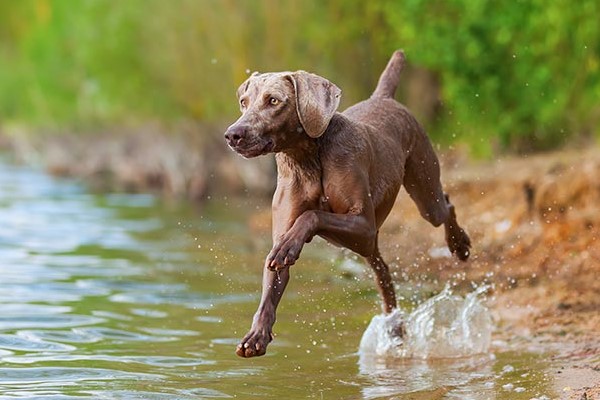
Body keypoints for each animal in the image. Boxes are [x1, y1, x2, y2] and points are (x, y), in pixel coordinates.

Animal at [224, 50, 468, 360]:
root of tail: (383, 97)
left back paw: (459, 244)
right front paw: (256, 336)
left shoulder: (363, 224)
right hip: (369, 247)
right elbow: (273, 275)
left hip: (423, 195)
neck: (307, 158)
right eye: (244, 102)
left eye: (274, 101)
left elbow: (312, 216)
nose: (233, 134)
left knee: (445, 206)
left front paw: (291, 245)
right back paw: (395, 328)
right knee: (383, 273)